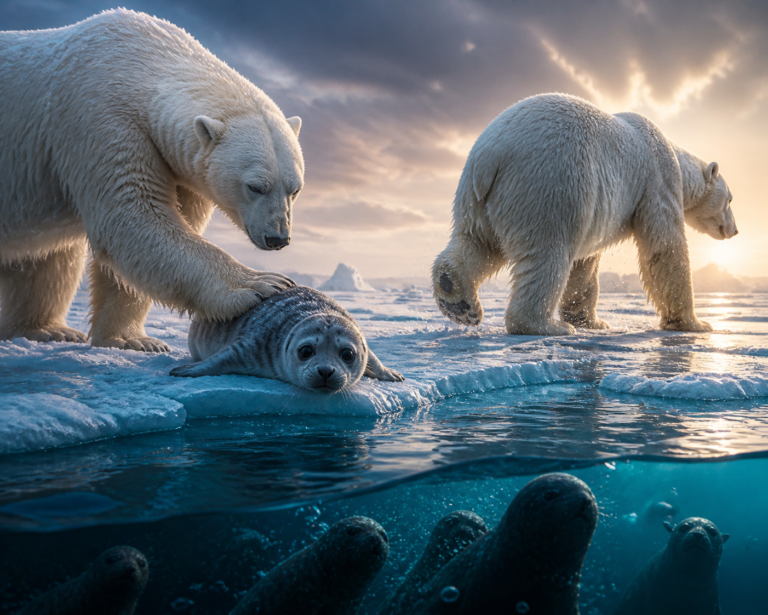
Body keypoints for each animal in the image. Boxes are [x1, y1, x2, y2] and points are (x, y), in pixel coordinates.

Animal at [0, 9, 303, 351]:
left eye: (294, 189)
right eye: (255, 186)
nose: (278, 238)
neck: (141, 58)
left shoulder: (177, 165)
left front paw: (133, 339)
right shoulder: (100, 120)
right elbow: (135, 217)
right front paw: (263, 283)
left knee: (45, 259)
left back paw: (47, 329)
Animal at [432, 93, 738, 336]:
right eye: (731, 199)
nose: (734, 230)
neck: (675, 154)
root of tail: (491, 154)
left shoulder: (598, 209)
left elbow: (586, 263)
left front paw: (591, 321)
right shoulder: (657, 179)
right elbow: (665, 247)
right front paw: (695, 323)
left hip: (475, 199)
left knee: (477, 243)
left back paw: (456, 298)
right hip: (550, 184)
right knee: (548, 254)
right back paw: (546, 326)